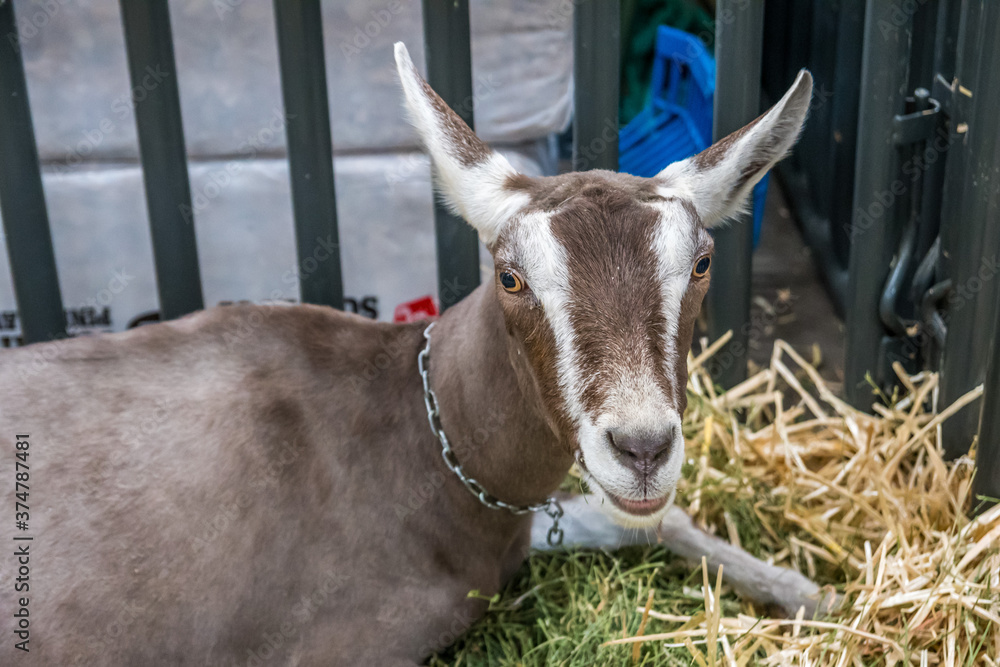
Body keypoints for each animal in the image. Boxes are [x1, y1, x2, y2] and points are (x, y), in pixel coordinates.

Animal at [0, 43, 827, 666]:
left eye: (702, 262)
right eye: (510, 275)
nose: (643, 447)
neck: (424, 440)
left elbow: (650, 520)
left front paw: (803, 589)